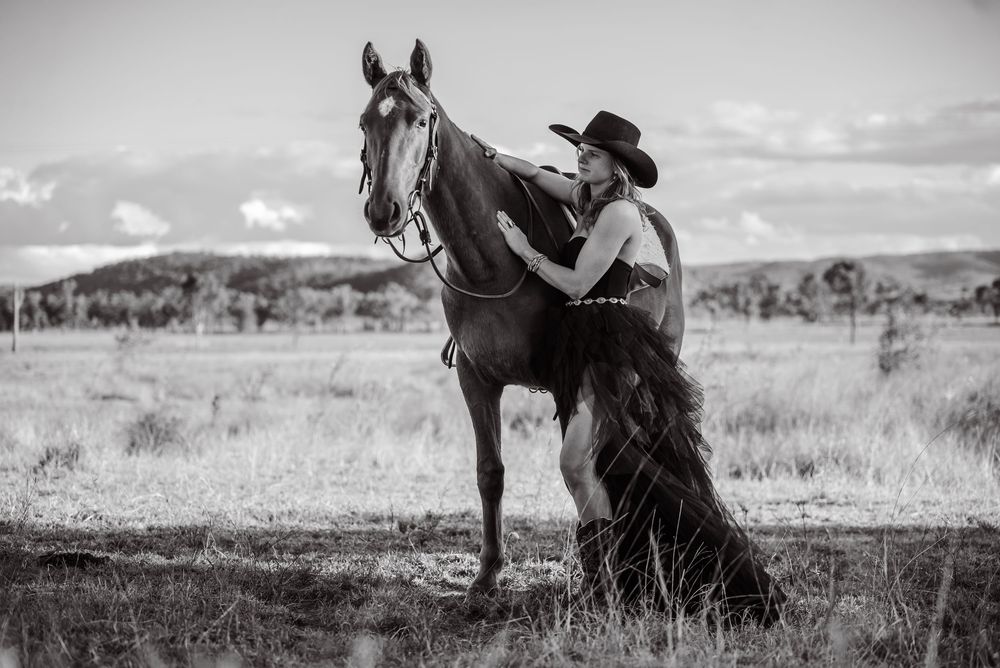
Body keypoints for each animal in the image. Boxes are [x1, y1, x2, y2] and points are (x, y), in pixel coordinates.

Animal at [358, 39, 686, 593]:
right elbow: (490, 471)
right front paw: (488, 574)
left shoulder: (565, 380)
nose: (385, 210)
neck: (490, 265)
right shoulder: (476, 378)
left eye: (421, 119)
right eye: (364, 122)